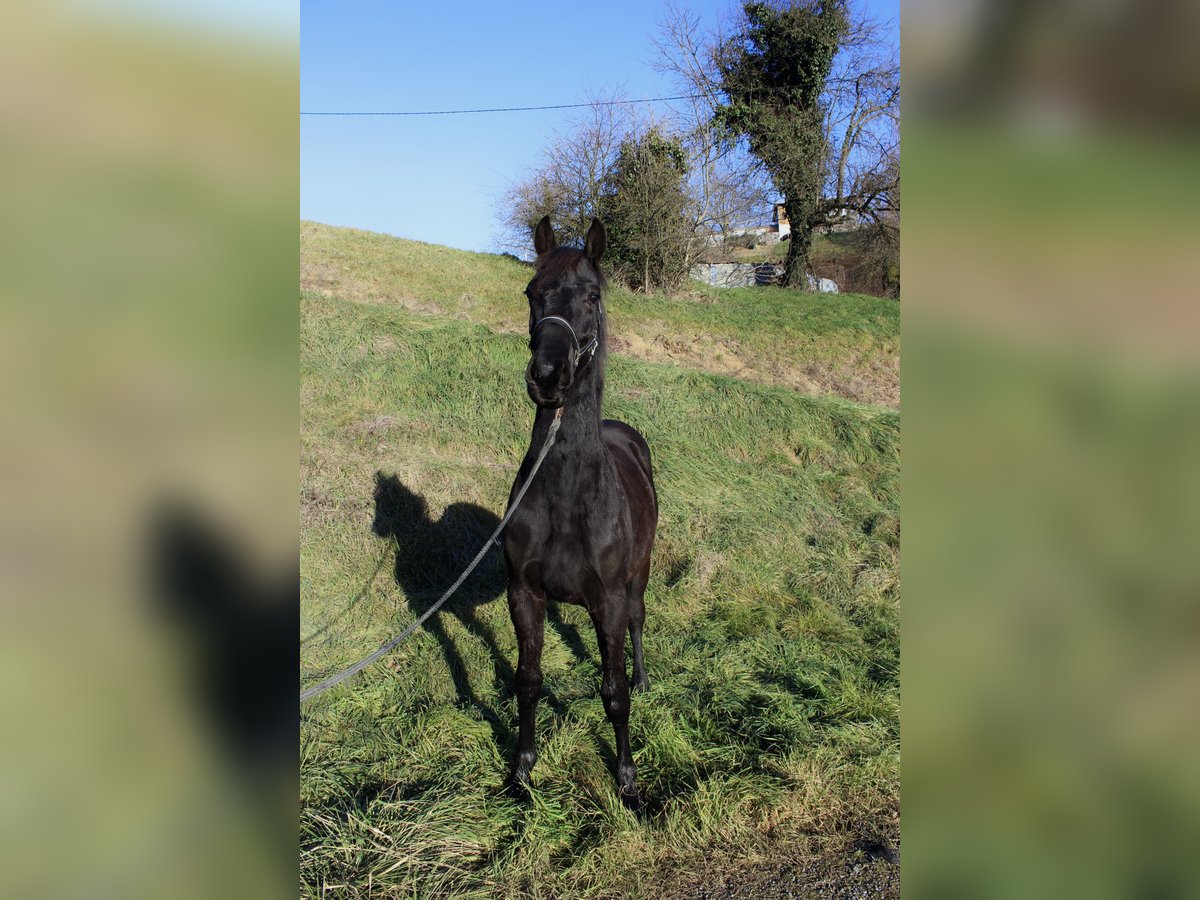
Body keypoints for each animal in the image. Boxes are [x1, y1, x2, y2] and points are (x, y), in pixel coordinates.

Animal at [501, 218, 662, 811]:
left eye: (592, 296)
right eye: (532, 292)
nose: (549, 376)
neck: (568, 495)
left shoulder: (608, 600)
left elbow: (612, 695)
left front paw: (628, 781)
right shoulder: (524, 593)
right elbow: (527, 680)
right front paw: (522, 771)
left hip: (639, 576)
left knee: (637, 624)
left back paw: (643, 678)